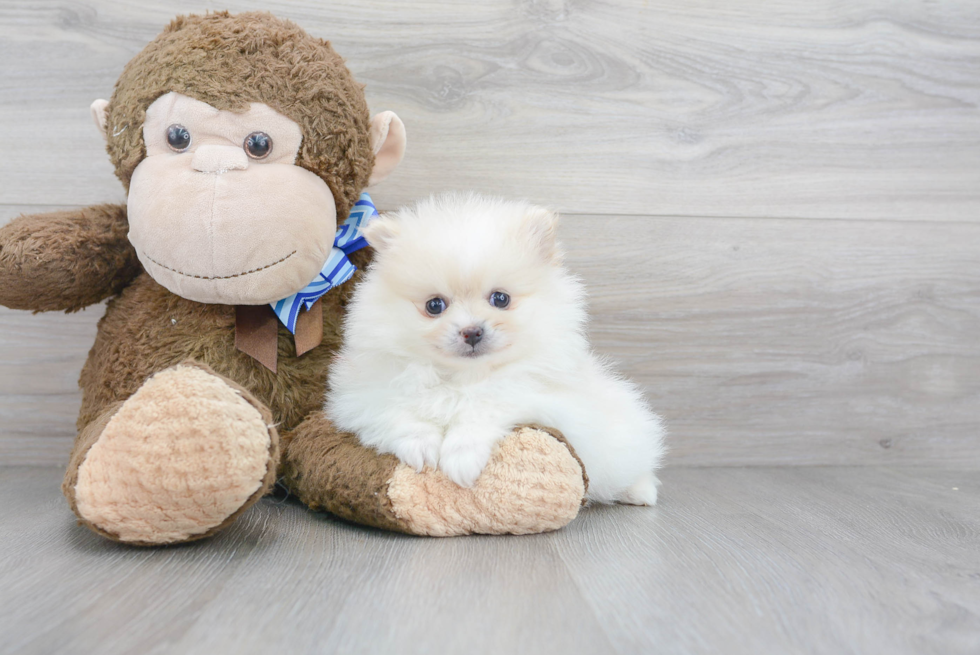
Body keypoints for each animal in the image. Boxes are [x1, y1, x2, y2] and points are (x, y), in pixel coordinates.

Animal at [326, 195, 664, 508]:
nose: (472, 331)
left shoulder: (545, 398)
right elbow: (399, 412)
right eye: (434, 305)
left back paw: (641, 492)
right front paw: (420, 447)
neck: (464, 377)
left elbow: (484, 407)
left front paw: (460, 458)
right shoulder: (365, 395)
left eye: (500, 299)